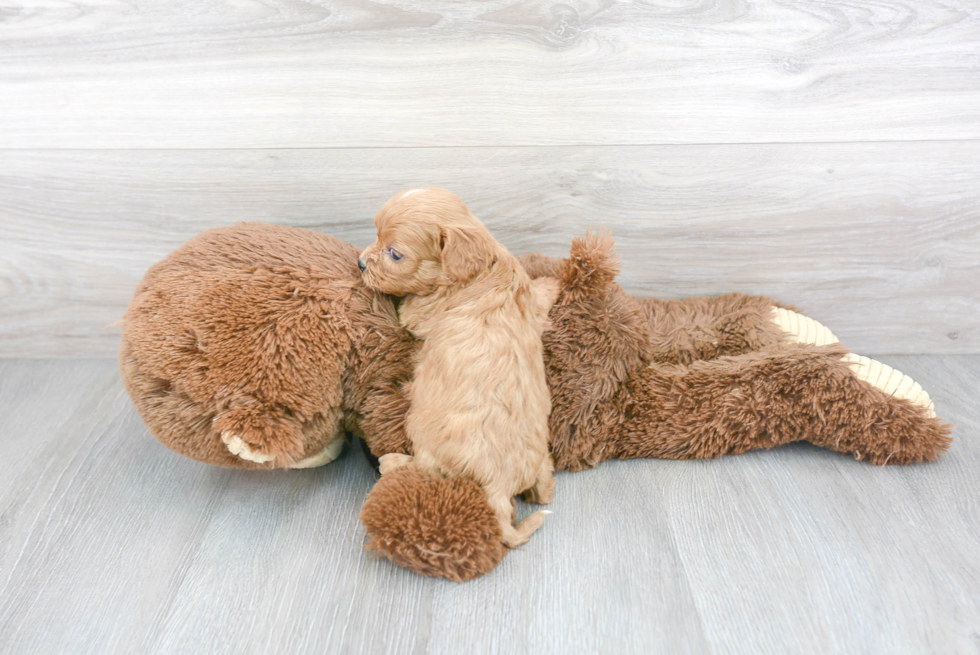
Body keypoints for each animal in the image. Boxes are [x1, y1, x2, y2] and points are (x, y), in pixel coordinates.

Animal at [360, 186, 560, 548]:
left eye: (394, 254)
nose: (359, 263)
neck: (481, 268)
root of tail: (500, 485)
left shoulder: (419, 310)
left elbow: (405, 309)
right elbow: (538, 298)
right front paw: (551, 284)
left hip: (423, 432)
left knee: (426, 469)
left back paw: (393, 462)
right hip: (540, 457)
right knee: (545, 489)